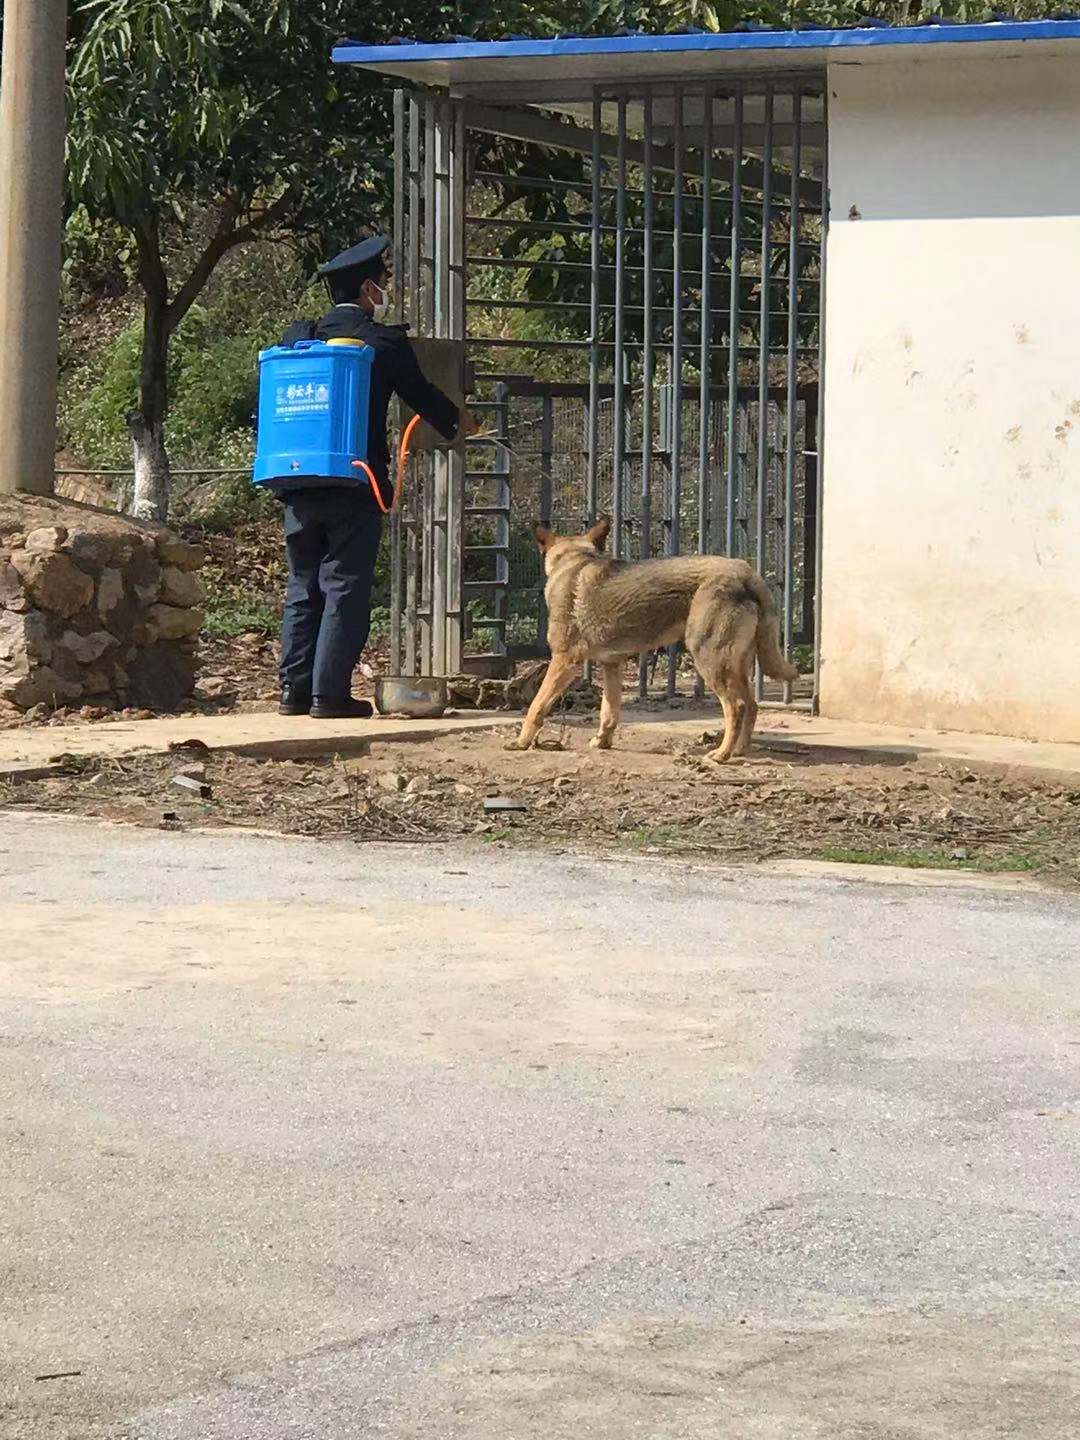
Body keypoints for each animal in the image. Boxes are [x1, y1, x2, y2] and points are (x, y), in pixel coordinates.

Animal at [507, 518, 797, 763]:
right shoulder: (611, 665)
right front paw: (603, 741)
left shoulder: (564, 661)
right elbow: (608, 712)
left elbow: (536, 707)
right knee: (752, 705)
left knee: (736, 706)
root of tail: (747, 574)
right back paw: (739, 750)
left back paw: (722, 754)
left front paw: (521, 742)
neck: (575, 560)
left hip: (710, 662)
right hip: (734, 666)